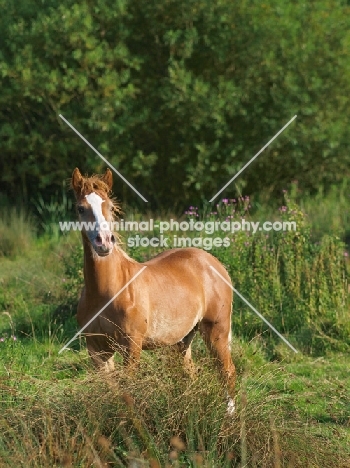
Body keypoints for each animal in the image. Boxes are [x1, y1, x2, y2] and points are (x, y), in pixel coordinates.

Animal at [71, 167, 235, 410]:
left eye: (109, 206)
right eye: (81, 208)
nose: (104, 242)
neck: (106, 293)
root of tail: (214, 263)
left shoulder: (132, 347)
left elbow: (128, 393)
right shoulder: (97, 350)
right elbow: (112, 393)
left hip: (217, 331)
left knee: (227, 372)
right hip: (182, 339)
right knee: (189, 373)